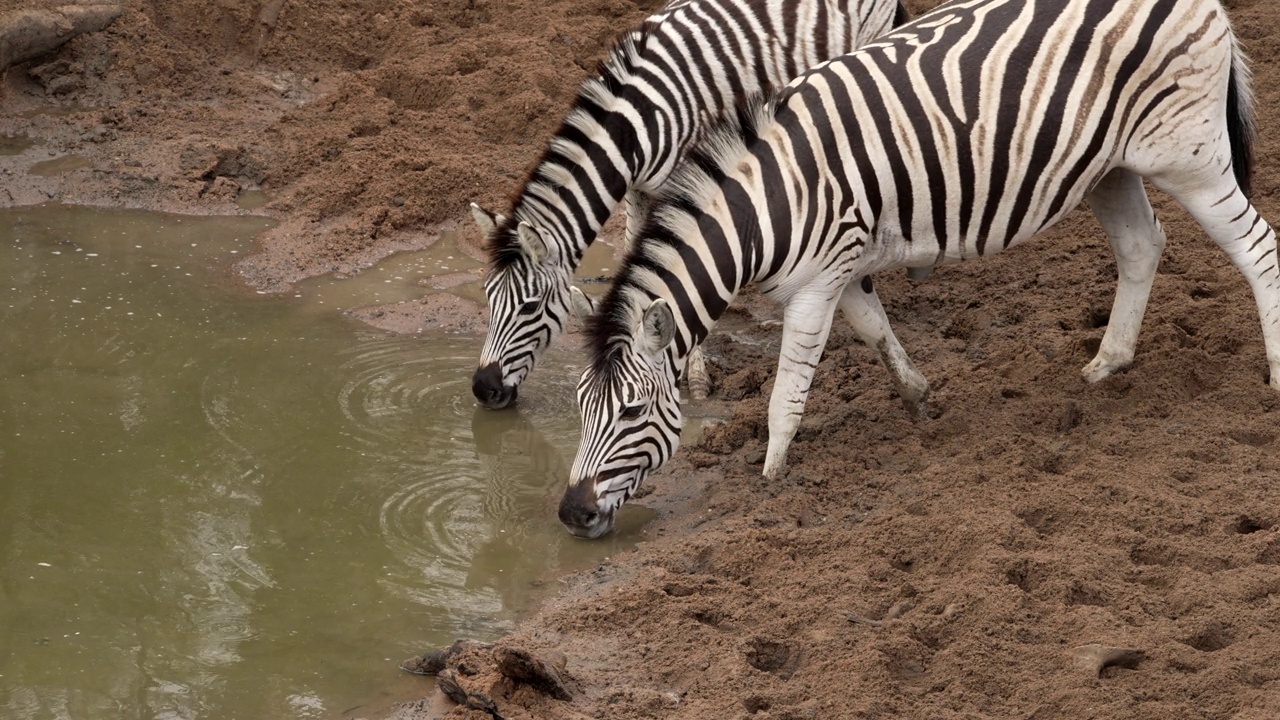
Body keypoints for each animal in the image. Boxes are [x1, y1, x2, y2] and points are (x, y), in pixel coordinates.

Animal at [465, 0, 906, 409]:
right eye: (487, 296)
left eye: (530, 307)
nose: (483, 389)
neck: (635, 127)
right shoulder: (639, 190)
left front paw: (695, 378)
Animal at [563, 0, 1280, 538]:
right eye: (578, 408)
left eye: (631, 413)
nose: (571, 514)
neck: (765, 208)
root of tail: (1207, 4)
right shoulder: (842, 267)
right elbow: (876, 331)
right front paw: (918, 397)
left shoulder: (816, 282)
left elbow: (786, 392)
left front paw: (771, 479)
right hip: (1108, 167)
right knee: (1141, 247)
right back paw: (1108, 363)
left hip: (1188, 156)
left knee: (1260, 249)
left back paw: (1273, 377)